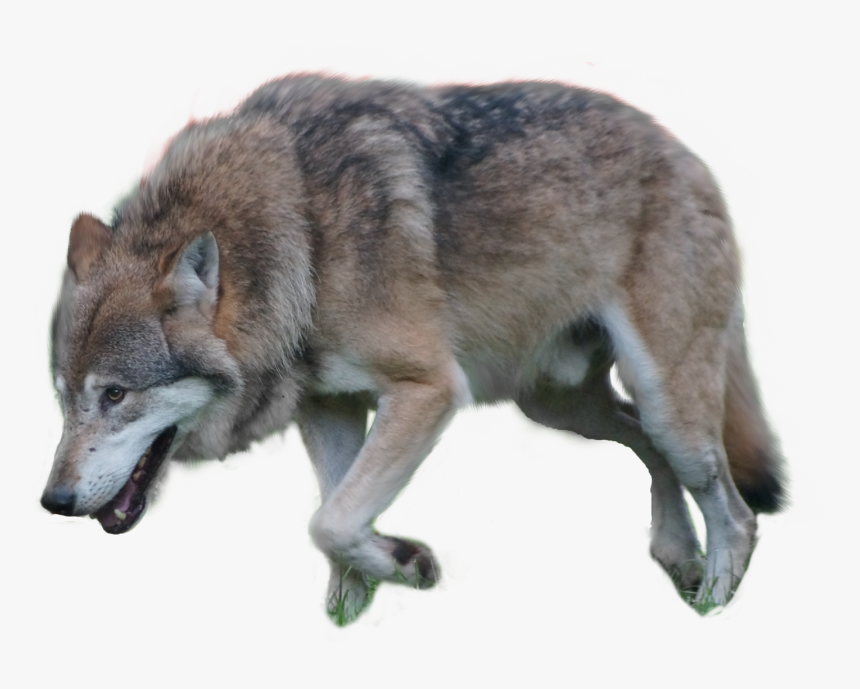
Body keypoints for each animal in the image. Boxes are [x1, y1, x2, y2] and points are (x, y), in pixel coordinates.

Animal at [43, 74, 785, 622]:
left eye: (115, 394)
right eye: (64, 398)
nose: (53, 501)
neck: (301, 241)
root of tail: (685, 152)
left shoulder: (428, 388)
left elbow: (330, 520)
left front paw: (406, 562)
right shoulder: (329, 406)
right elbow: (334, 515)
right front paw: (353, 606)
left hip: (664, 401)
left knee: (737, 512)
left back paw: (714, 603)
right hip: (560, 407)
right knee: (650, 449)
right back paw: (678, 557)